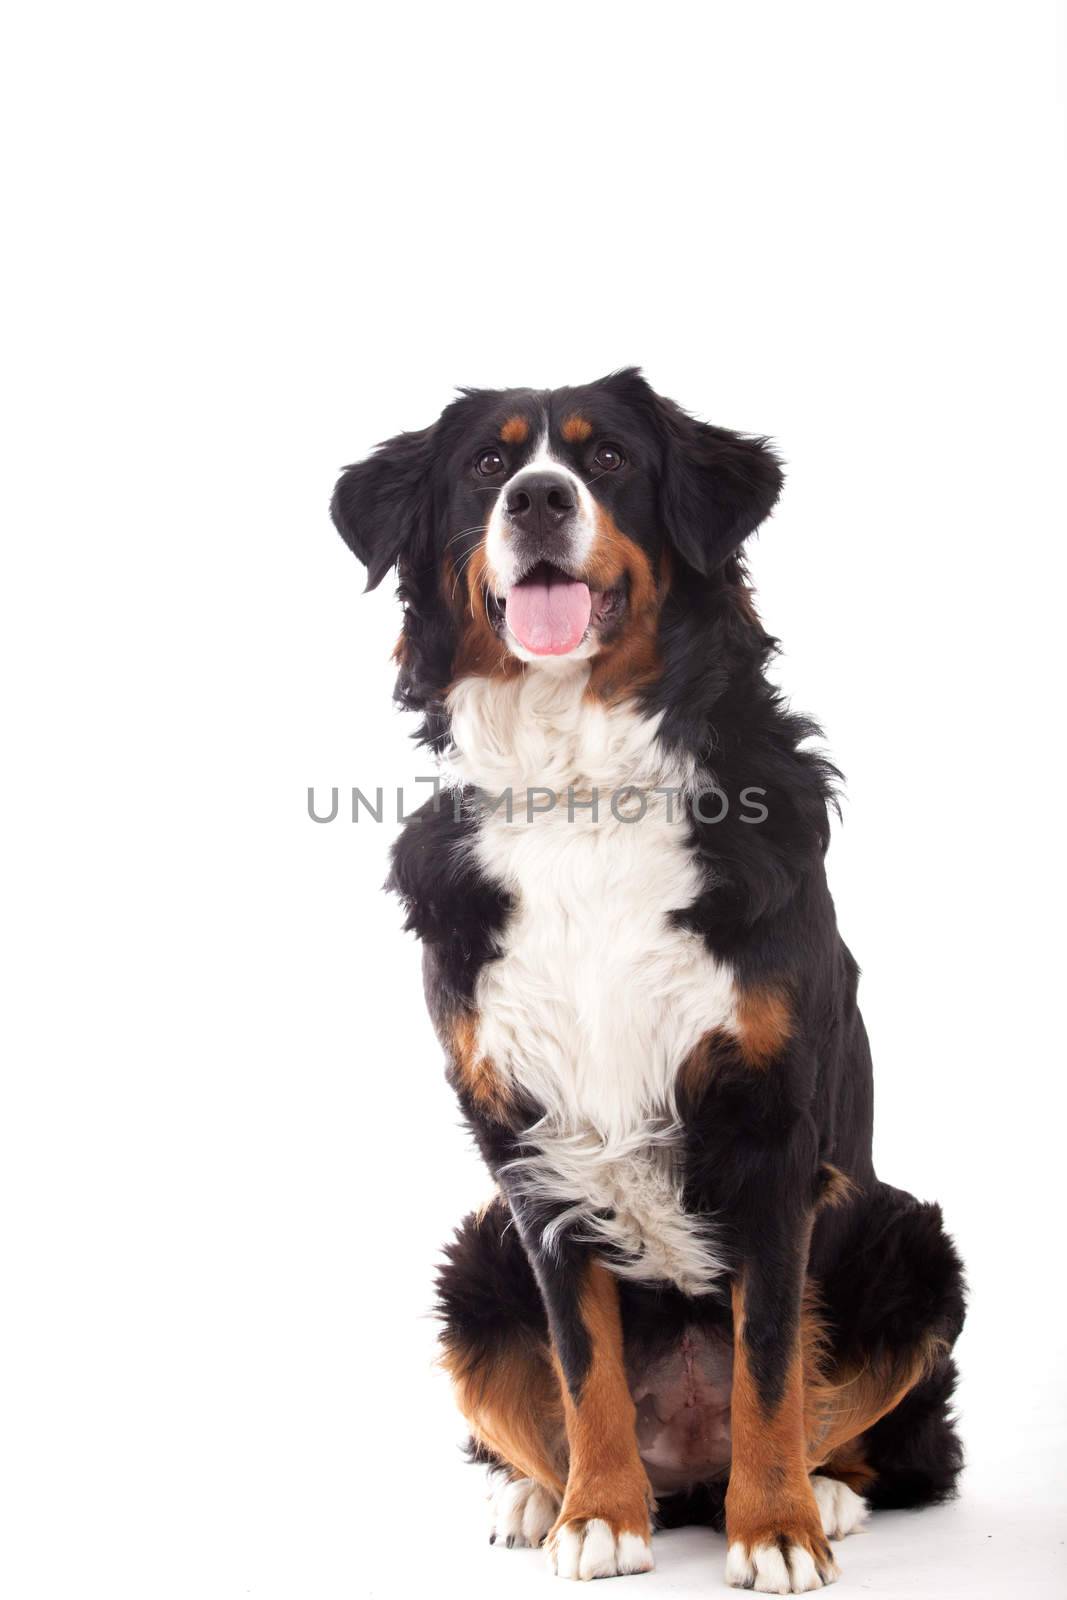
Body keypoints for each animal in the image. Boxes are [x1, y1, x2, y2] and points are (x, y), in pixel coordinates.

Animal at [329, 371, 966, 1587]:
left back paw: (822, 1491)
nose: (537, 499)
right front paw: (595, 1516)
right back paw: (541, 1497)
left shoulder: (770, 1130)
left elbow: (768, 1357)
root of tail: (689, 1468)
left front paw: (775, 1529)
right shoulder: (527, 1143)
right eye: (487, 466)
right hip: (474, 1256)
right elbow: (585, 1364)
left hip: (902, 1234)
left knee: (870, 1432)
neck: (583, 789)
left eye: (610, 459)